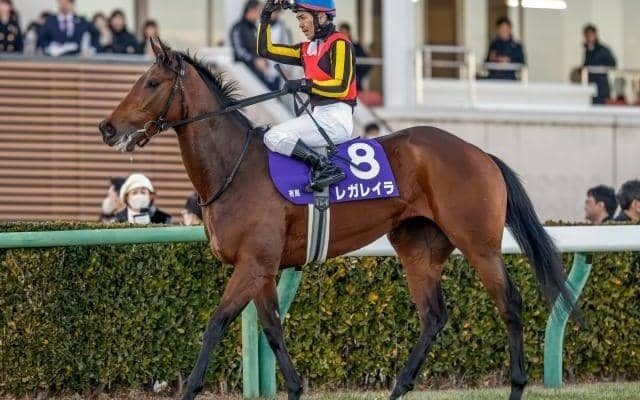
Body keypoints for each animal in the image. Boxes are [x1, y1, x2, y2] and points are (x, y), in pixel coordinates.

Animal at [99, 39, 574, 400]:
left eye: (152, 82)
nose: (107, 127)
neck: (234, 167)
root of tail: (480, 152)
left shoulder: (252, 264)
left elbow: (216, 323)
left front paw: (191, 389)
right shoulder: (262, 268)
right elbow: (272, 329)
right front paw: (294, 388)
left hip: (478, 243)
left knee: (509, 303)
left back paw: (516, 386)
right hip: (418, 246)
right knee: (433, 315)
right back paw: (399, 388)